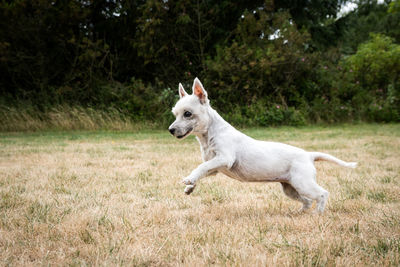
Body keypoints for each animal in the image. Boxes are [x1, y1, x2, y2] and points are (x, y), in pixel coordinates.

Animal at [169, 77, 356, 214]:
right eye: (175, 114)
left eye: (187, 114)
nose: (171, 130)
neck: (209, 134)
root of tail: (309, 155)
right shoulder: (215, 168)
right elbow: (203, 169)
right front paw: (190, 186)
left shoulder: (224, 158)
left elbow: (201, 167)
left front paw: (189, 180)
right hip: (290, 188)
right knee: (308, 201)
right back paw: (299, 213)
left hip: (303, 183)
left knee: (322, 194)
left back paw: (318, 213)